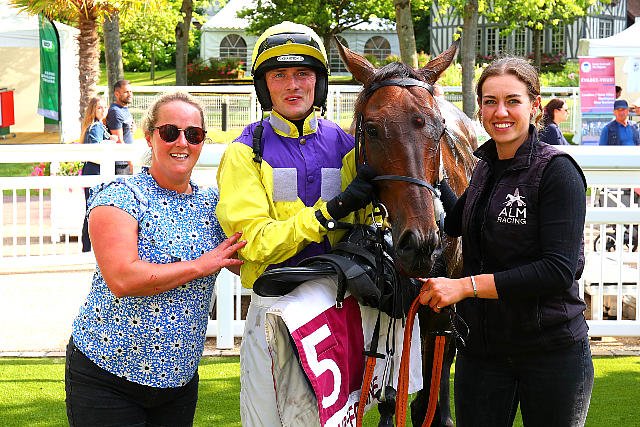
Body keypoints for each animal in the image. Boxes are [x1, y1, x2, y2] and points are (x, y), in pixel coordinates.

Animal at [336, 40, 478, 426]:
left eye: (438, 128)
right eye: (371, 128)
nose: (420, 243)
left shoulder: (441, 304)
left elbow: (431, 389)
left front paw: (434, 410)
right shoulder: (393, 299)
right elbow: (390, 387)